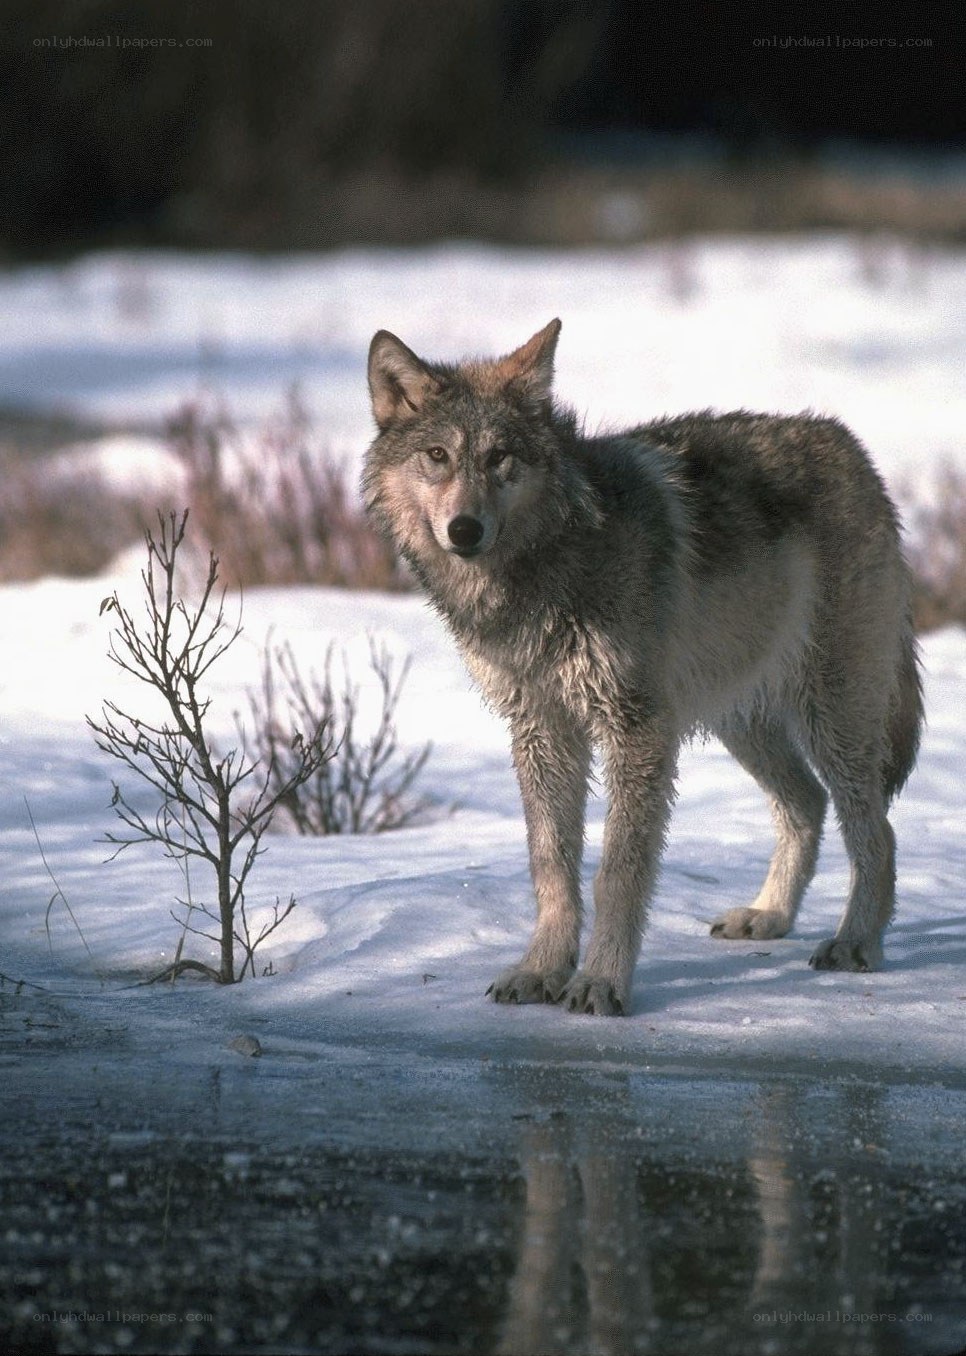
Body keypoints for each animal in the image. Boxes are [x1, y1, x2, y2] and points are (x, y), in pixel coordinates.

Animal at [363, 319, 923, 1016]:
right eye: (437, 456)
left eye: (500, 459)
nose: (465, 530)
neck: (540, 573)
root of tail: (852, 448)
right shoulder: (542, 730)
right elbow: (551, 865)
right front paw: (541, 969)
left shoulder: (637, 727)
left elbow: (618, 873)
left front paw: (600, 982)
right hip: (744, 721)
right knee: (806, 803)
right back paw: (769, 916)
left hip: (831, 718)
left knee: (877, 834)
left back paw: (854, 942)